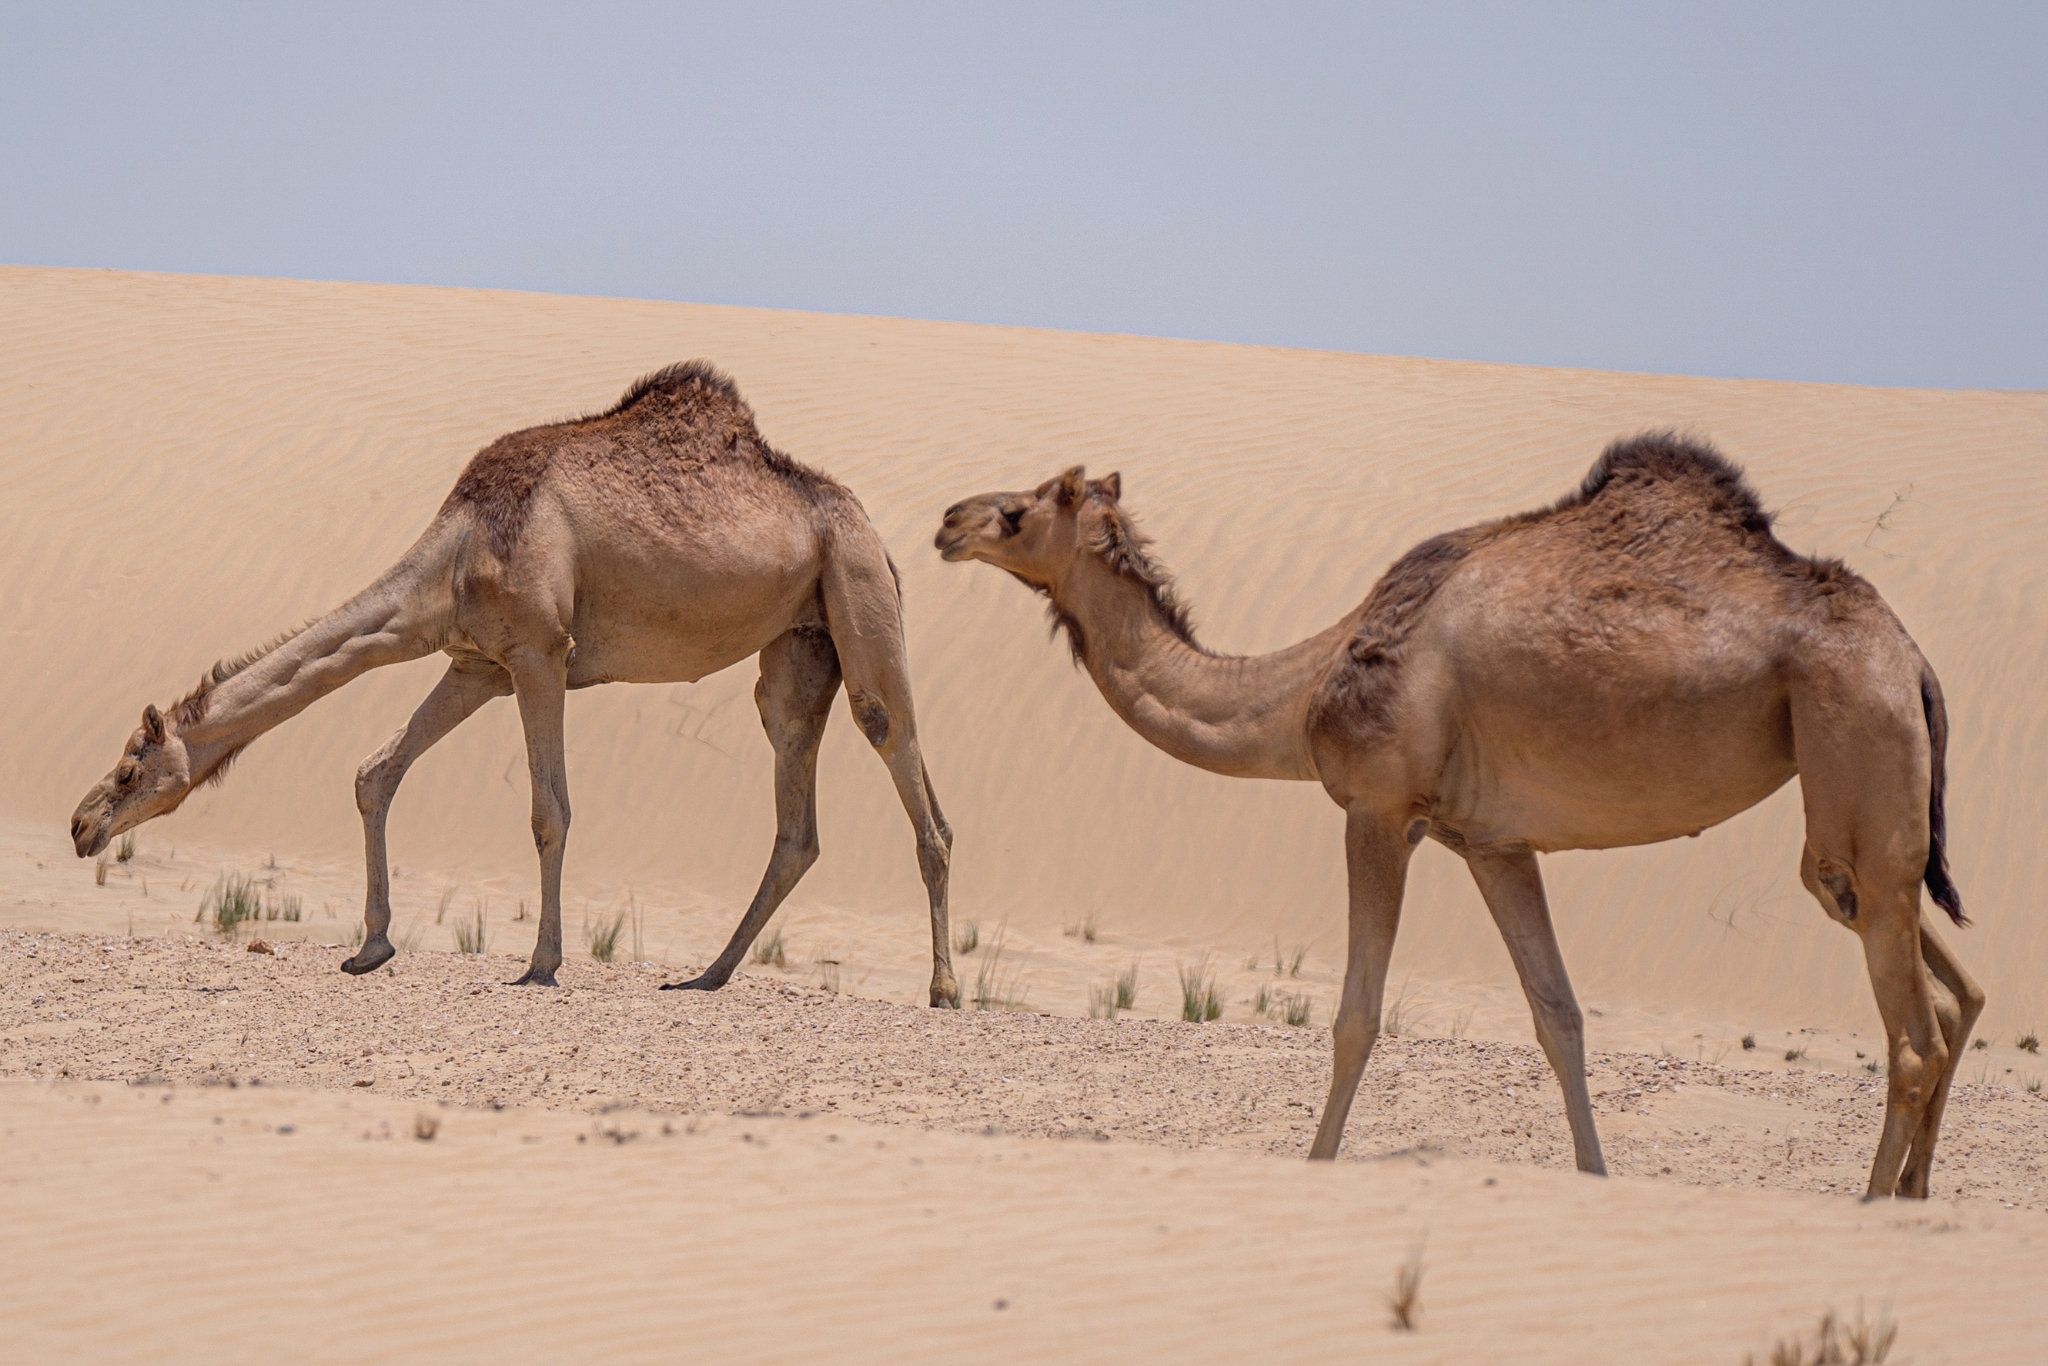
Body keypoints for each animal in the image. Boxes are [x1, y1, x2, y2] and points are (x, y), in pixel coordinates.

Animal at [72, 362, 958, 1005]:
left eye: (129, 769)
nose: (81, 825)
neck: (457, 554)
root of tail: (874, 530)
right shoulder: (477, 664)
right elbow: (376, 771)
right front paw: (370, 949)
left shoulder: (540, 652)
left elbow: (548, 812)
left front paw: (540, 964)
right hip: (799, 646)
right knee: (795, 805)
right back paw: (706, 975)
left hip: (856, 587)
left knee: (902, 759)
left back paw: (944, 990)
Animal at [935, 436, 1981, 1199]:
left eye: (1021, 510)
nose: (948, 518)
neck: (1303, 689)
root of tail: (1916, 659)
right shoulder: (1493, 841)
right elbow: (1559, 1016)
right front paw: (1594, 1177)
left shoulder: (1377, 808)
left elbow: (1357, 1016)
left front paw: (1317, 1165)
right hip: (1867, 809)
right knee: (1945, 991)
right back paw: (1915, 1194)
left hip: (1855, 739)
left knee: (1912, 1032)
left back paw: (1871, 1204)